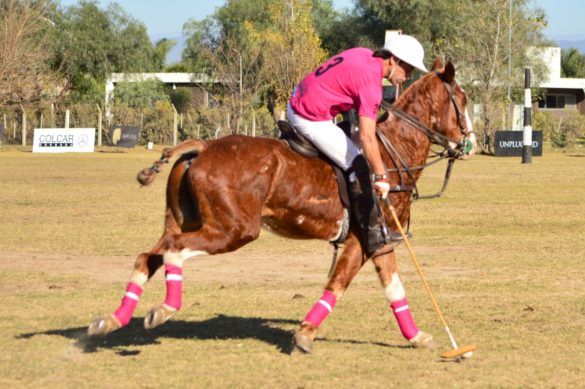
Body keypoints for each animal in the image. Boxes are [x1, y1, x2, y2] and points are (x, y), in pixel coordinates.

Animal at [89, 59, 476, 354]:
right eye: (463, 98)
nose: (469, 144)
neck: (393, 151)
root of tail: (202, 146)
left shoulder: (381, 240)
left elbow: (394, 289)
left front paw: (419, 337)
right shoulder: (365, 238)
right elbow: (338, 284)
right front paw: (304, 335)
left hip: (185, 218)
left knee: (148, 256)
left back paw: (109, 320)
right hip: (234, 229)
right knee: (175, 249)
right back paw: (164, 309)